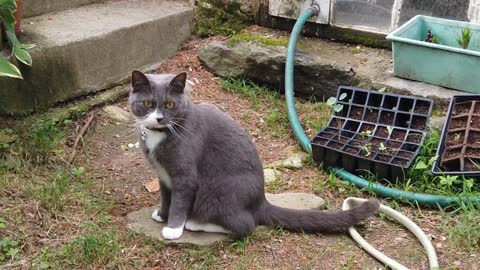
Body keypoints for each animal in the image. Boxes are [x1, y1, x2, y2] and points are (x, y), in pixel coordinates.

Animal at [129, 70, 380, 239]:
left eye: (170, 105)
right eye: (148, 103)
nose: (159, 118)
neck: (160, 134)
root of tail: (260, 201)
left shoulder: (184, 176)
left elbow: (179, 202)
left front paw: (172, 228)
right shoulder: (164, 176)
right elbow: (167, 197)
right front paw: (162, 214)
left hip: (217, 192)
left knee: (245, 225)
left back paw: (196, 223)